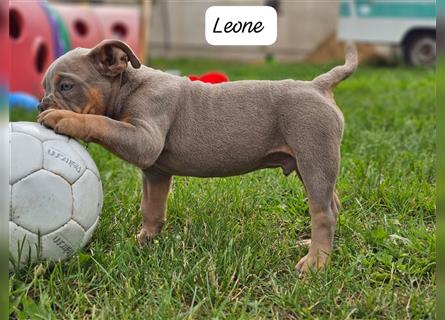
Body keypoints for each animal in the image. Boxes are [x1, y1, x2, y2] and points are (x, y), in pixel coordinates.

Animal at [38, 39, 358, 272]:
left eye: (66, 86)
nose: (41, 105)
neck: (127, 85)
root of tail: (317, 85)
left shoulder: (144, 140)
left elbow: (102, 122)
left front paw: (64, 118)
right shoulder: (156, 172)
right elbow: (151, 208)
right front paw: (143, 241)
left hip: (314, 159)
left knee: (324, 212)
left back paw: (316, 261)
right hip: (311, 163)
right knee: (333, 204)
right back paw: (315, 247)